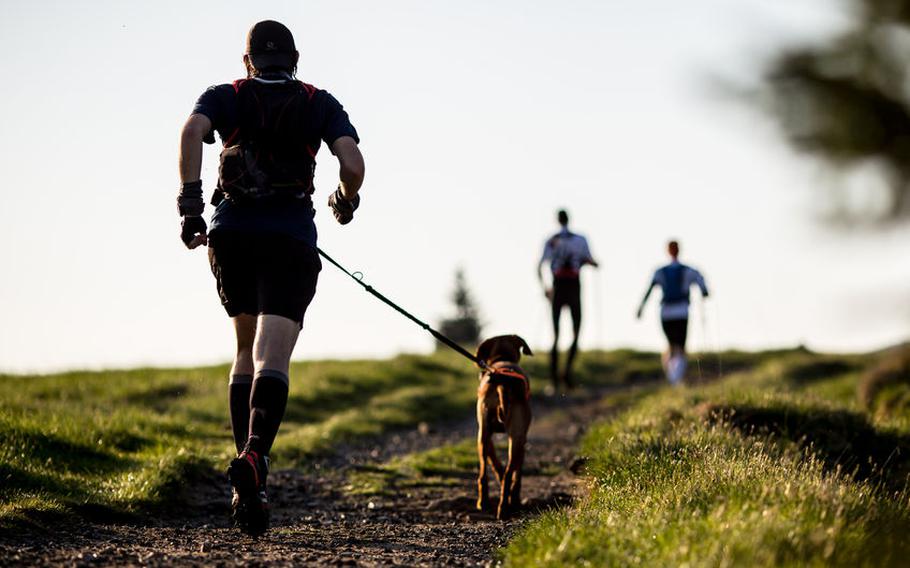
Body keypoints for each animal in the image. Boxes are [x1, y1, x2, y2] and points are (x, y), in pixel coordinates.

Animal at [478, 336, 536, 520]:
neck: (502, 358)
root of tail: (501, 382)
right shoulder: (522, 439)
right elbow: (518, 473)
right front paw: (515, 498)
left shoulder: (487, 435)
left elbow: (495, 463)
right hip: (516, 439)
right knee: (510, 474)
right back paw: (505, 506)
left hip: (482, 435)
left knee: (484, 474)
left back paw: (486, 503)